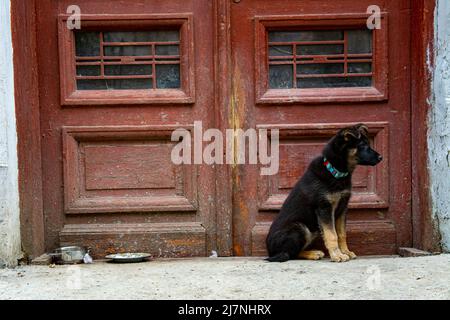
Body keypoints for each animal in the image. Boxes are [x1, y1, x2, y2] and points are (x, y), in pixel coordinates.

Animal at [266, 124, 382, 262]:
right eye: (363, 146)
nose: (381, 157)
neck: (335, 172)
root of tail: (270, 251)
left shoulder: (342, 208)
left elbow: (341, 234)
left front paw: (345, 252)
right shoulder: (324, 208)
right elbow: (332, 235)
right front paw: (337, 255)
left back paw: (313, 253)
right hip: (300, 228)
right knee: (290, 254)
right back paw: (312, 254)